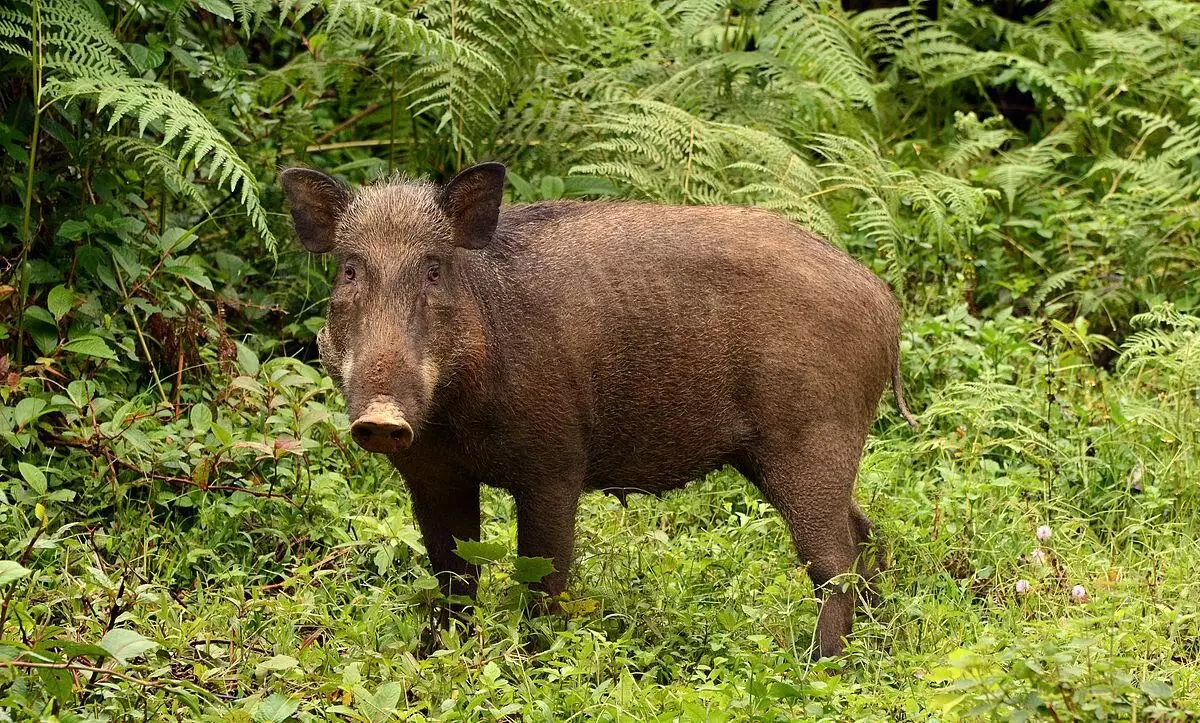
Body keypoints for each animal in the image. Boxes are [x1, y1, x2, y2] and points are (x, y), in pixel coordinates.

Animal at [280, 162, 917, 659]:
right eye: (349, 270)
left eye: (434, 269)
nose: (382, 417)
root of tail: (884, 301)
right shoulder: (433, 475)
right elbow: (453, 574)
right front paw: (437, 655)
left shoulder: (555, 467)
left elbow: (544, 575)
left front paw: (533, 661)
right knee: (863, 533)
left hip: (811, 438)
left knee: (832, 557)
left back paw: (820, 664)